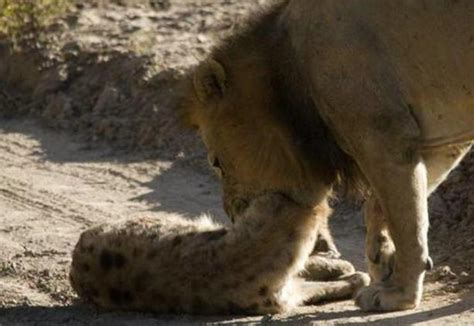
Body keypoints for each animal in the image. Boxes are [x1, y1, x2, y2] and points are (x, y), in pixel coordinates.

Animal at [183, 0, 474, 312]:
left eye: (216, 163)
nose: (233, 216)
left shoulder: (383, 135)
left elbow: (408, 227)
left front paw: (397, 294)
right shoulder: (438, 141)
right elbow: (383, 207)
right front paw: (382, 259)